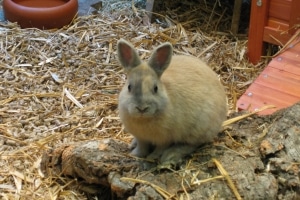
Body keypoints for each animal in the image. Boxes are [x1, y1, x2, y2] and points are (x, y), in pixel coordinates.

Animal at [117, 38, 227, 166]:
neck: (143, 120)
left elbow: (160, 148)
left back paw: (171, 154)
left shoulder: (165, 139)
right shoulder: (141, 137)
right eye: (129, 87)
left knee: (192, 144)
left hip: (199, 129)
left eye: (155, 88)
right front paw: (135, 154)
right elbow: (142, 147)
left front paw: (152, 157)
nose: (142, 108)